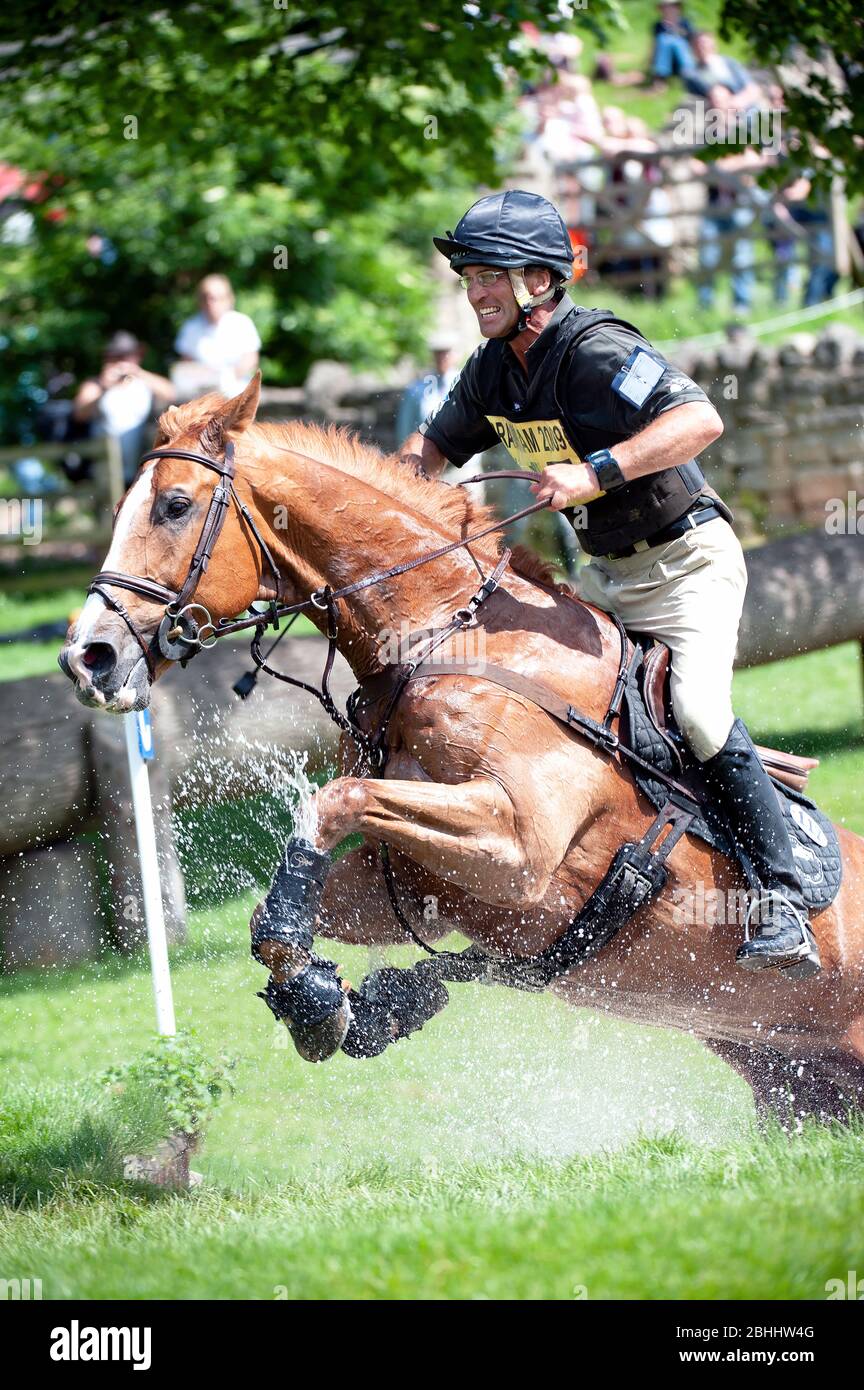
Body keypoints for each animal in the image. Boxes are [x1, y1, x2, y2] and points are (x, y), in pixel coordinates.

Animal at [59, 378, 864, 1117]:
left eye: (174, 506)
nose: (87, 658)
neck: (441, 638)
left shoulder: (516, 847)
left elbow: (337, 798)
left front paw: (338, 998)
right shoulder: (423, 887)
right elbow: (280, 910)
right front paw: (326, 1001)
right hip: (790, 1083)